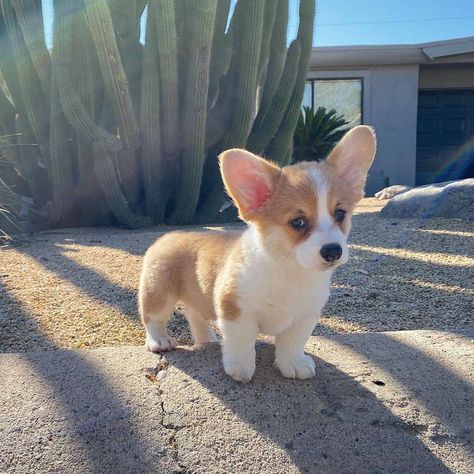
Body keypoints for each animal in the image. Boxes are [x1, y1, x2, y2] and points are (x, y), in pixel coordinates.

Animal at [139, 125, 376, 382]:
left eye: (340, 214)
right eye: (298, 222)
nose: (333, 250)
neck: (290, 270)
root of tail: (168, 235)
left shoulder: (305, 316)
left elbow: (293, 342)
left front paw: (293, 364)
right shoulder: (235, 309)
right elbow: (242, 340)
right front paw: (240, 368)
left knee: (195, 314)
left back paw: (208, 340)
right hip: (158, 293)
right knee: (153, 317)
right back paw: (160, 340)